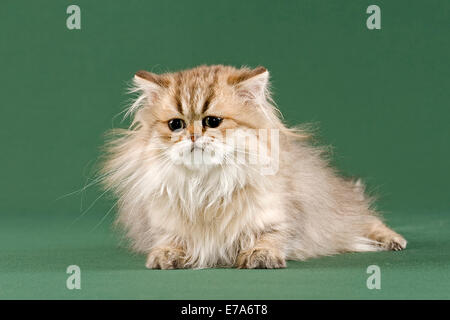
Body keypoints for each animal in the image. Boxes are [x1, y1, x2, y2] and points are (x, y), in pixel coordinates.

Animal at [102, 65, 408, 270]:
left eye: (212, 121)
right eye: (175, 124)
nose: (192, 136)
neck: (206, 184)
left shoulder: (279, 218)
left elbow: (270, 238)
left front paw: (260, 256)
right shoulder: (162, 224)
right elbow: (170, 241)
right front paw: (165, 256)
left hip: (346, 213)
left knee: (366, 219)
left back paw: (394, 240)